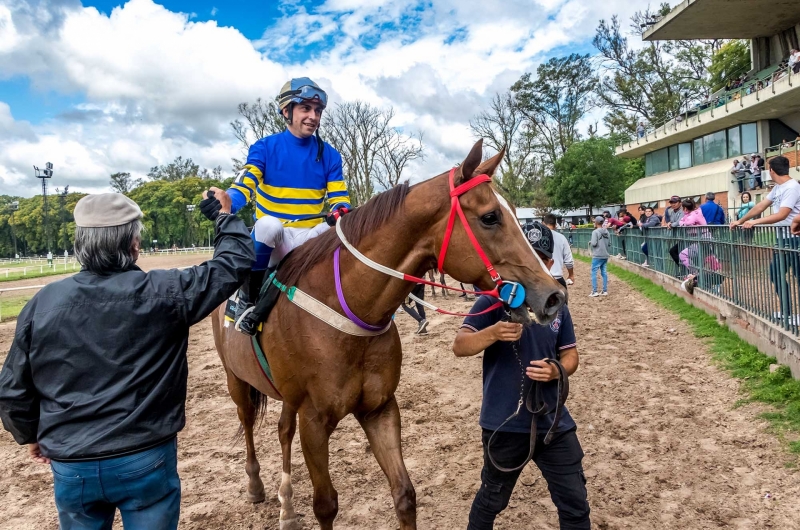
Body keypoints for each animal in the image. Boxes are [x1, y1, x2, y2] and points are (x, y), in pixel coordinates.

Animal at [209, 140, 564, 528]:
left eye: (514, 212)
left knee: (283, 429)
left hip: (287, 395)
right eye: (490, 217)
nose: (553, 295)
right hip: (236, 380)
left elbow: (404, 494)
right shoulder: (314, 421)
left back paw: (287, 507)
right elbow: (325, 505)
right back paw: (256, 486)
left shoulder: (379, 409)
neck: (348, 310)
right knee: (247, 421)